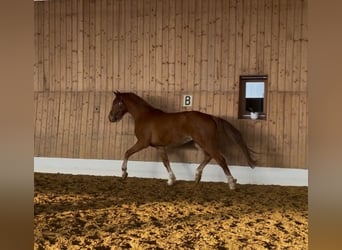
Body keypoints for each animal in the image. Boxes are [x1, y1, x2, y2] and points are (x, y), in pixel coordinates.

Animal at [108, 91, 255, 190]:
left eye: (117, 103)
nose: (111, 118)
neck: (144, 116)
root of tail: (211, 117)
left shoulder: (142, 143)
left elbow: (127, 152)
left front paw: (124, 173)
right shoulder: (160, 146)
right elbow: (165, 162)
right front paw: (171, 180)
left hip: (206, 143)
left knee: (220, 159)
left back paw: (231, 183)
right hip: (200, 143)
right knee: (208, 157)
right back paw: (197, 176)